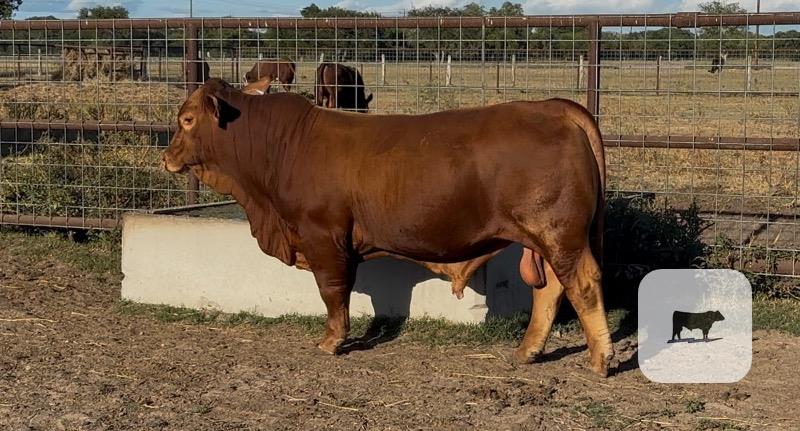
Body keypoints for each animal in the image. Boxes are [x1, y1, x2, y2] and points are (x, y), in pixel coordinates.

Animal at [162, 78, 612, 376]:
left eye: (187, 119)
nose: (166, 157)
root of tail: (552, 106)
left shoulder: (323, 236)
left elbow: (333, 292)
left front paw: (331, 341)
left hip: (559, 233)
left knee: (582, 283)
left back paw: (599, 359)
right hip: (545, 238)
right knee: (550, 289)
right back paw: (528, 350)